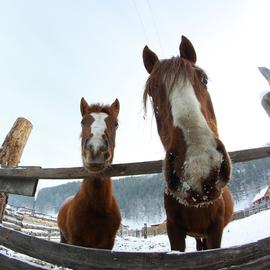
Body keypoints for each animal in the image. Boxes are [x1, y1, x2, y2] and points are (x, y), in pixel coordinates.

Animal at [57, 97, 121, 249]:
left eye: (116, 124)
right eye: (82, 121)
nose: (95, 149)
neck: (98, 208)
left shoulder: (107, 246)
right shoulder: (76, 243)